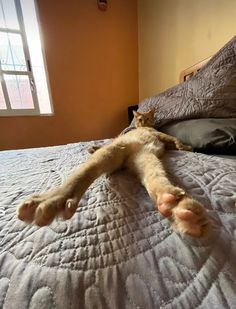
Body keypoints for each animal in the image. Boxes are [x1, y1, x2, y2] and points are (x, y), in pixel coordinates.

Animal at [17, 109, 211, 237]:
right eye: (140, 118)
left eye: (147, 117)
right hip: (120, 151)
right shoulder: (162, 136)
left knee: (154, 180)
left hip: (143, 159)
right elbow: (175, 140)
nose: (143, 122)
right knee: (80, 175)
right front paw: (185, 147)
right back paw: (51, 201)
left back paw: (176, 207)